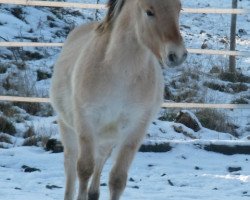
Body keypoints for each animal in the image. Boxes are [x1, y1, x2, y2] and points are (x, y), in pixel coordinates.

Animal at [50, 0, 188, 200]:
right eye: (149, 11)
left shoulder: (135, 129)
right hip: (68, 127)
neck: (119, 73)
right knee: (70, 164)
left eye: (179, 9)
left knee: (100, 159)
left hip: (107, 137)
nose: (177, 55)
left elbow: (117, 179)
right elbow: (84, 169)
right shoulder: (86, 122)